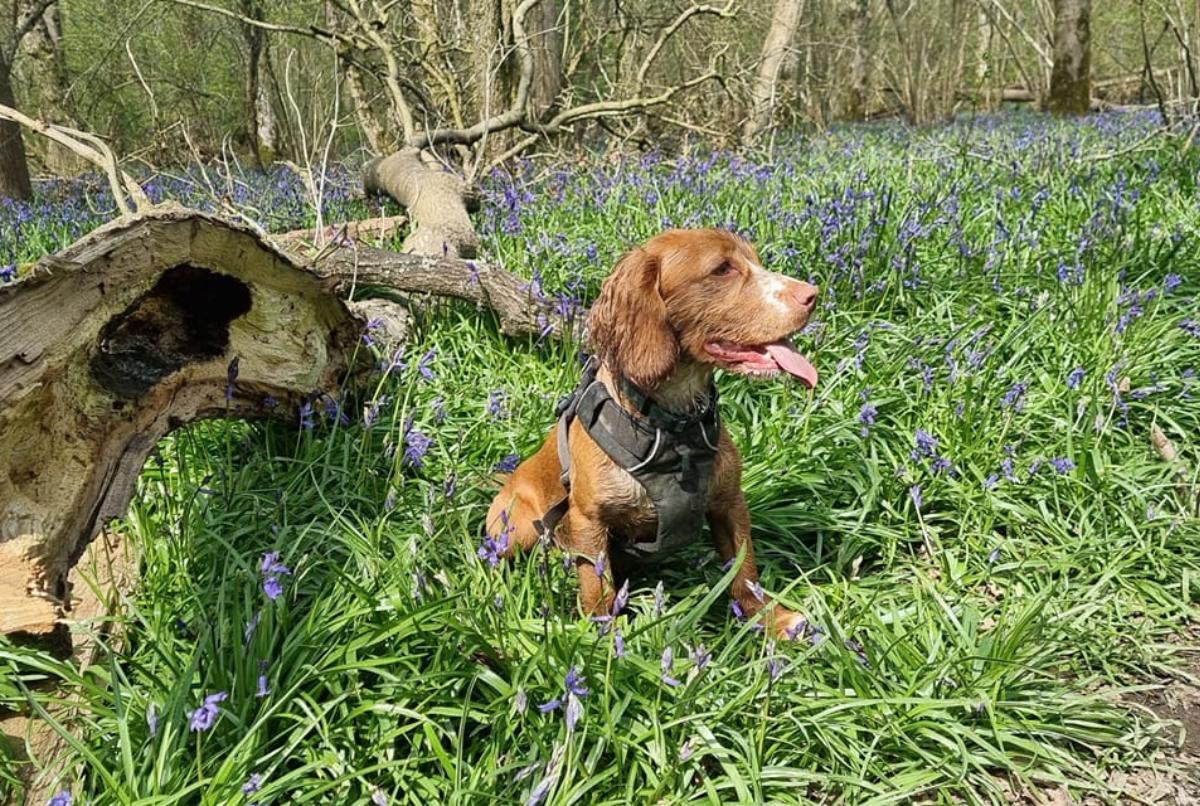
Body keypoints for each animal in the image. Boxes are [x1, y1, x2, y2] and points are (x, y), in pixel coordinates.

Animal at [484, 227, 816, 638]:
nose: (813, 295)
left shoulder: (729, 502)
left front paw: (769, 619)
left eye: (755, 260)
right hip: (517, 529)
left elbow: (744, 571)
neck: (674, 430)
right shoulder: (588, 521)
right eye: (722, 269)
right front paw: (603, 640)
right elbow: (598, 590)